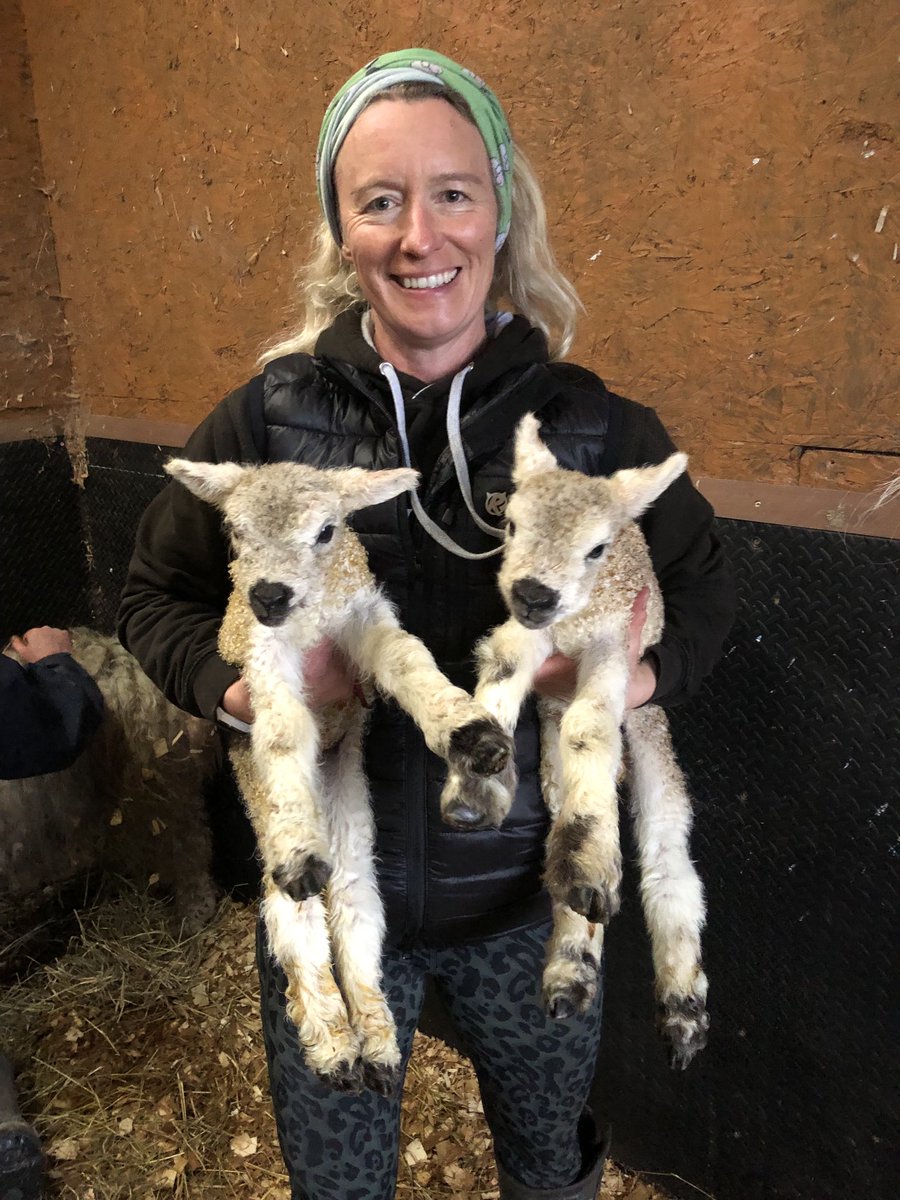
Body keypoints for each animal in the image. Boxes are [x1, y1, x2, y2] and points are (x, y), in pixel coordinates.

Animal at [164, 457, 513, 1095]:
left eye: (327, 531)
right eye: (235, 532)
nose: (269, 594)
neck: (313, 617)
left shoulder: (363, 620)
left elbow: (408, 661)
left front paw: (470, 732)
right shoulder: (263, 657)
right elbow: (281, 731)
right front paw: (300, 846)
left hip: (351, 813)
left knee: (354, 908)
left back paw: (375, 1043)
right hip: (265, 819)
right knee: (296, 918)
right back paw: (334, 1044)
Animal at [441, 414, 709, 1070]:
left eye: (596, 548)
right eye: (511, 524)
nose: (535, 593)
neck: (573, 625)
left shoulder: (614, 644)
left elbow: (591, 723)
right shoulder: (539, 640)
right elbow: (503, 668)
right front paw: (474, 784)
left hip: (648, 721)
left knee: (668, 856)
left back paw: (682, 1007)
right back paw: (572, 965)